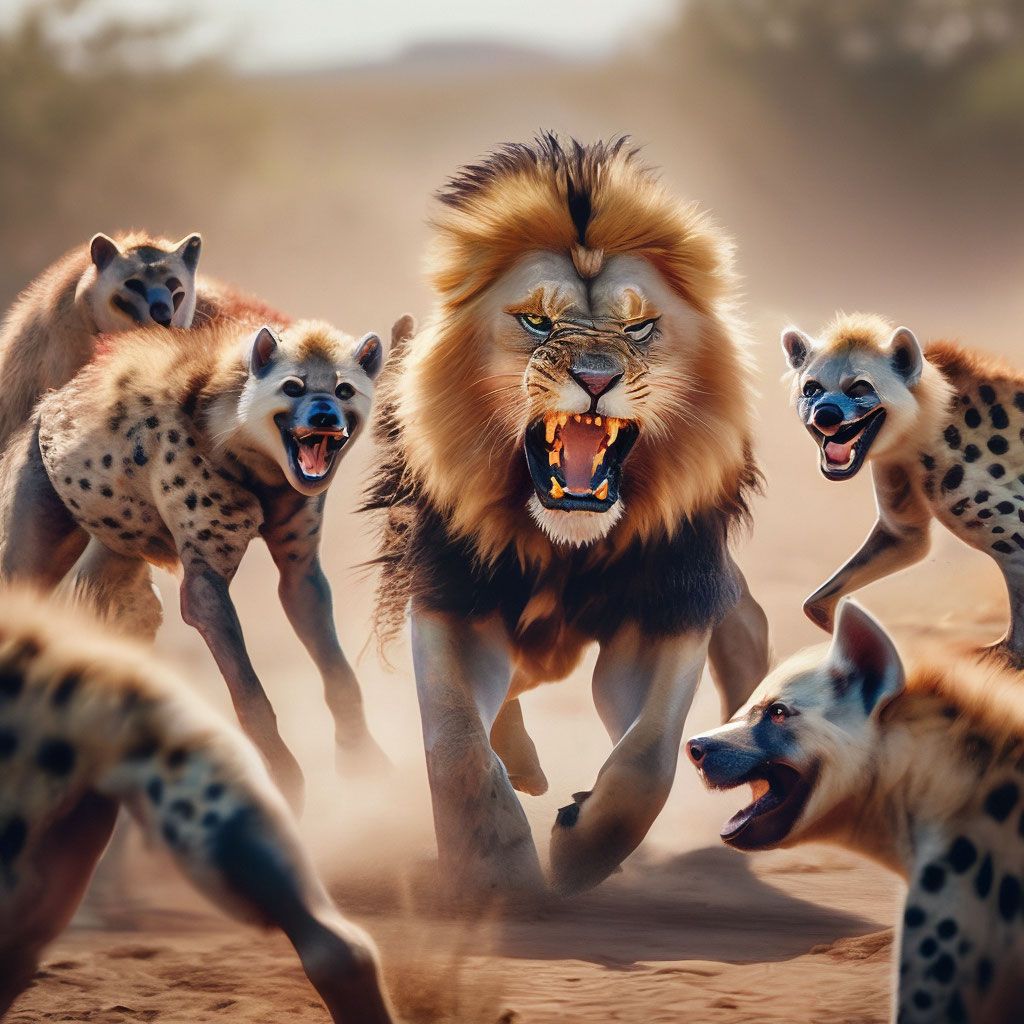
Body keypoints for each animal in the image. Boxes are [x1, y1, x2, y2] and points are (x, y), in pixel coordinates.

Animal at [363, 134, 770, 897]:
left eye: (639, 327)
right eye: (536, 322)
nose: (597, 377)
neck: (564, 545)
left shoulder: (659, 616)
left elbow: (648, 759)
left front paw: (581, 849)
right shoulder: (454, 602)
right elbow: (457, 743)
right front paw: (496, 869)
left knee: (746, 625)